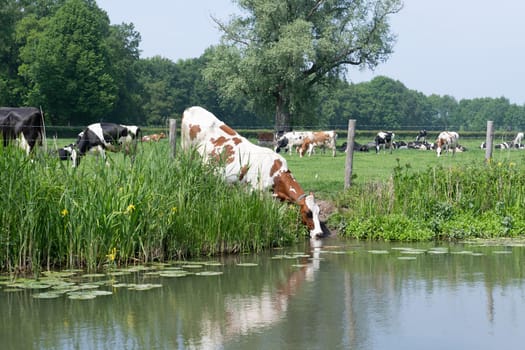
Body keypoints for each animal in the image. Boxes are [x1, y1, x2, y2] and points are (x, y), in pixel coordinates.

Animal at [182, 106, 326, 238]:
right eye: (308, 213)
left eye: (318, 212)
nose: (319, 233)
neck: (275, 173)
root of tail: (191, 108)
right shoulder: (253, 191)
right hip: (187, 152)